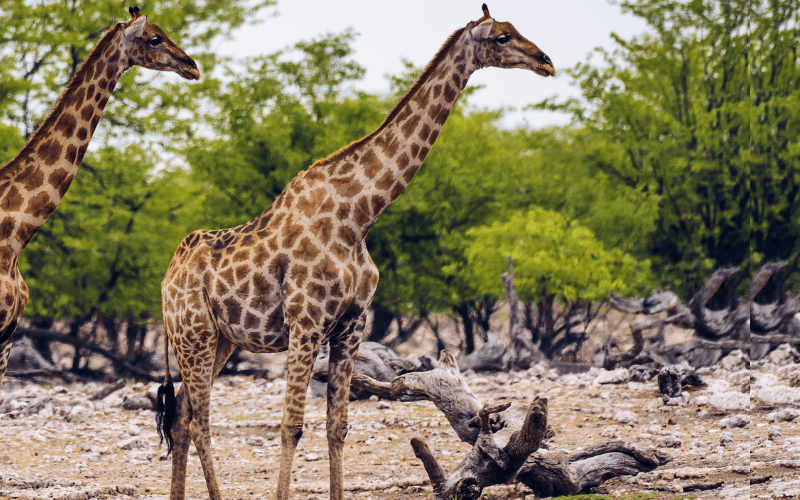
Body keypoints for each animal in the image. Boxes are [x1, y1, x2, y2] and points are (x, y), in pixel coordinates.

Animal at [158, 4, 556, 500]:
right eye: (501, 37)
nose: (545, 61)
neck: (360, 214)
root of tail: (166, 279)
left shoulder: (351, 324)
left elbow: (338, 427)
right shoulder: (306, 323)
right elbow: (291, 426)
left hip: (219, 340)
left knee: (181, 416)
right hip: (195, 334)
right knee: (200, 421)